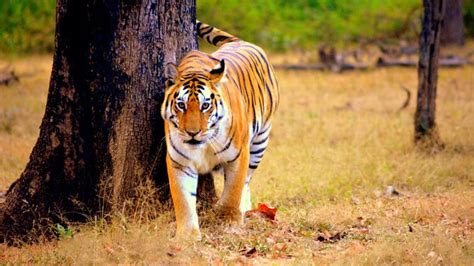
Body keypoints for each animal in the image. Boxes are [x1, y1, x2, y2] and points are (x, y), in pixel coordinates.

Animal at [162, 19, 280, 238]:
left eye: (205, 105)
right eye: (181, 105)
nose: (192, 133)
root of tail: (241, 41)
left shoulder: (238, 155)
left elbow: (233, 190)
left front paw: (228, 222)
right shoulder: (179, 162)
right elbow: (183, 200)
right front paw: (187, 236)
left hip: (261, 140)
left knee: (247, 180)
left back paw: (244, 209)